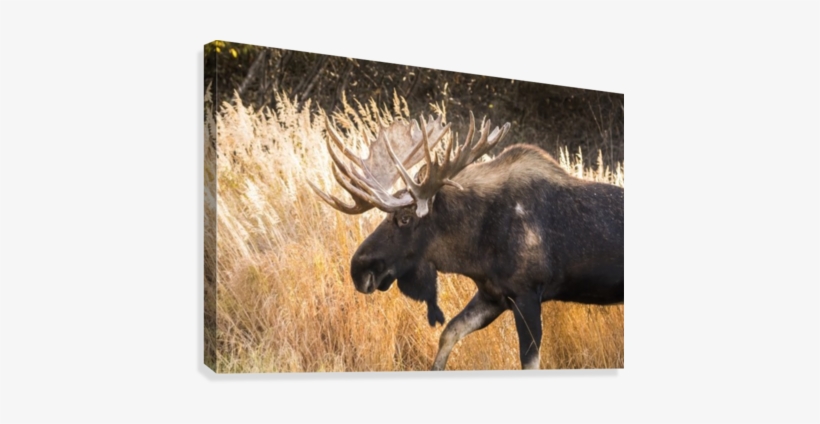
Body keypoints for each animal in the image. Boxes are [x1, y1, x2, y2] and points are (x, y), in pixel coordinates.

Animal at [308, 111, 624, 370]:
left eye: (405, 218)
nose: (358, 269)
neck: (474, 248)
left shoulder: (527, 293)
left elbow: (529, 362)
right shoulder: (492, 294)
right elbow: (448, 333)